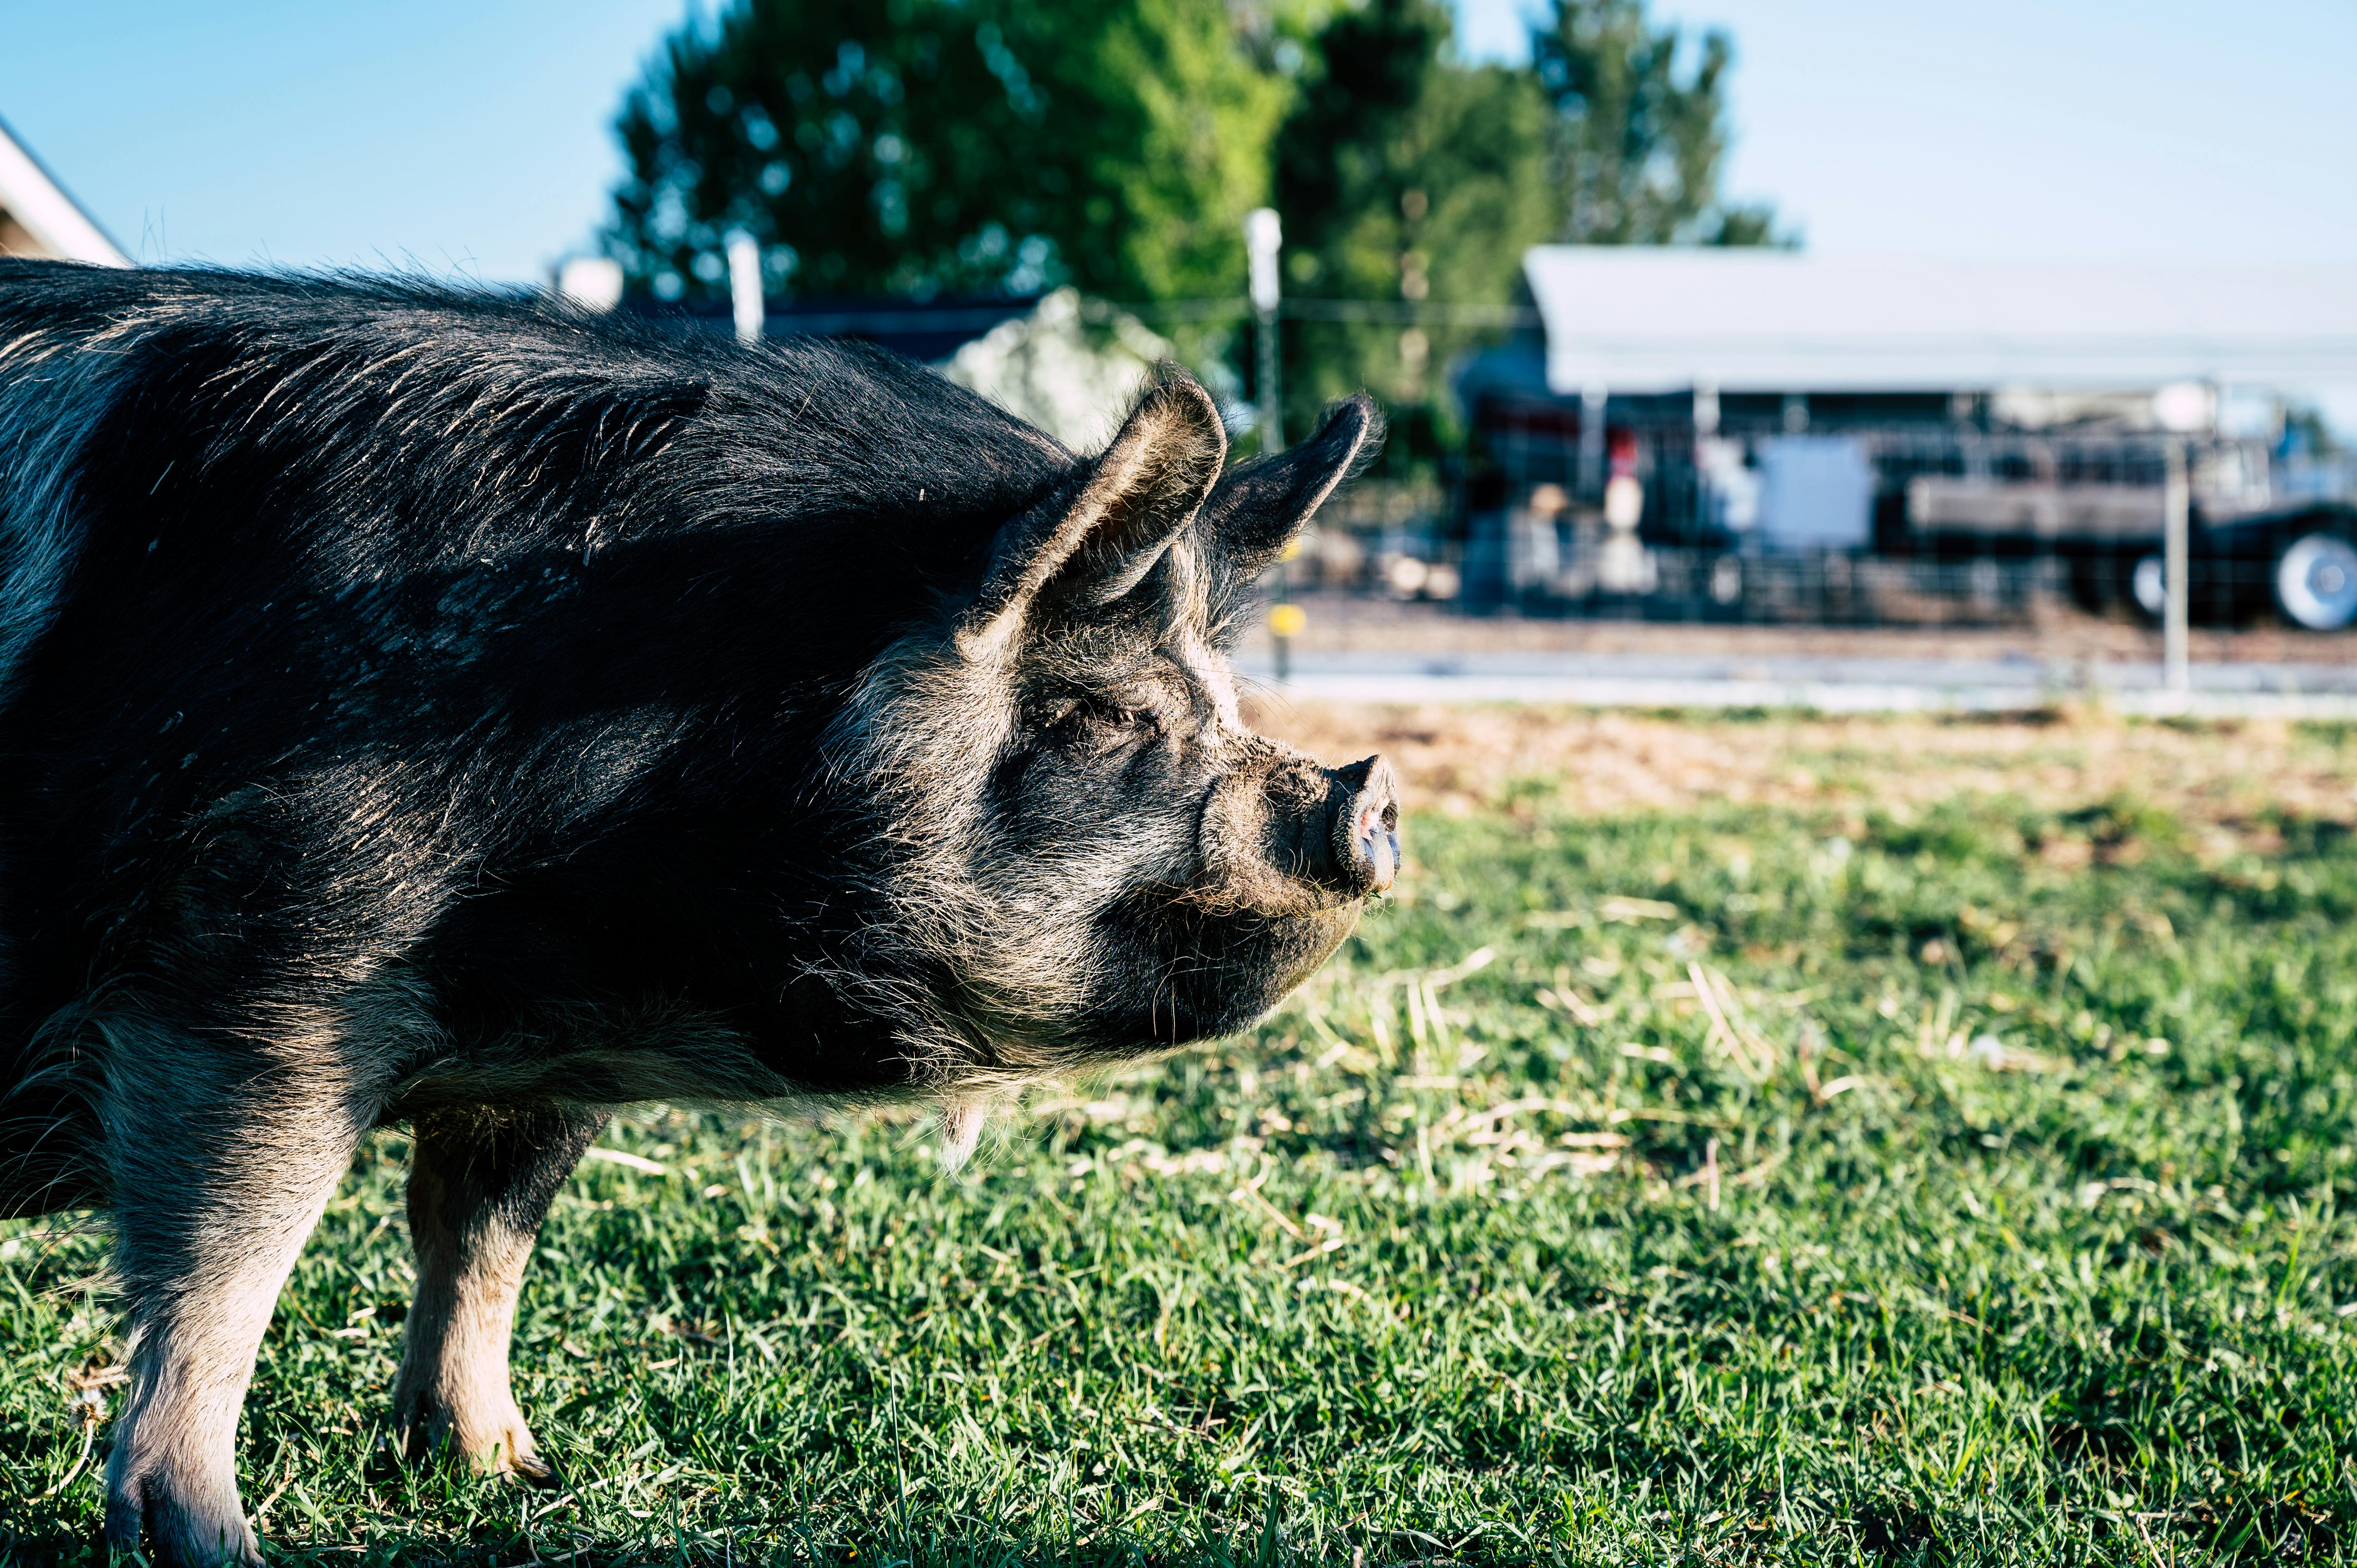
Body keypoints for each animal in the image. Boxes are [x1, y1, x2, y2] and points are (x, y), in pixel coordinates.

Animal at [0, 263, 1395, 1556]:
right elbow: (222, 1269)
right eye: (1101, 715)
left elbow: (481, 1240)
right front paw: (214, 1544)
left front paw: (508, 1473)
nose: (1369, 801)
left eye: (1222, 699)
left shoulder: (536, 1053)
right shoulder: (243, 969)